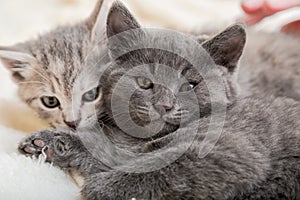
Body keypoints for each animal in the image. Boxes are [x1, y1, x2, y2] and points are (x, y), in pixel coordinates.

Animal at [18, 1, 300, 200]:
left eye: (190, 85)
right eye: (145, 82)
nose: (164, 105)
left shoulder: (230, 149)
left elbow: (166, 169)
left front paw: (99, 188)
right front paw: (49, 142)